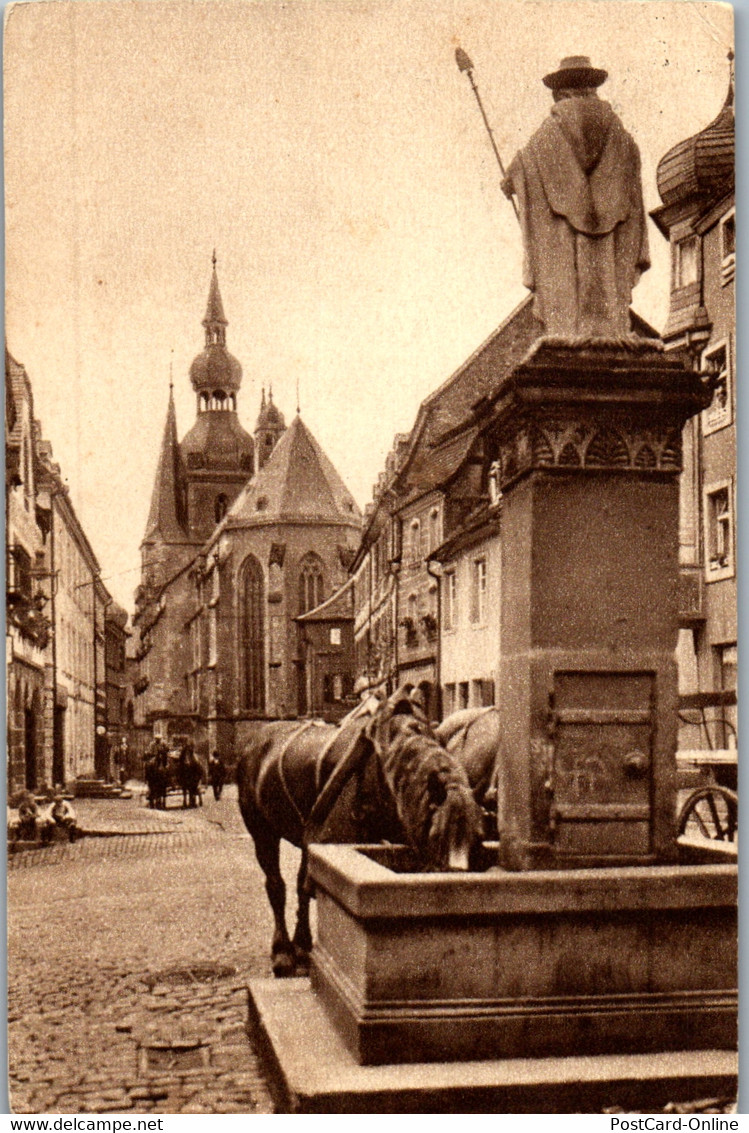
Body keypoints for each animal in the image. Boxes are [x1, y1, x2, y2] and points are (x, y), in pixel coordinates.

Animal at [239, 684, 484, 978]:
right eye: (437, 836)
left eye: (478, 838)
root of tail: (254, 742)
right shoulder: (331, 839)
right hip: (261, 831)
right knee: (276, 886)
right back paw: (283, 953)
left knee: (299, 885)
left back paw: (301, 947)